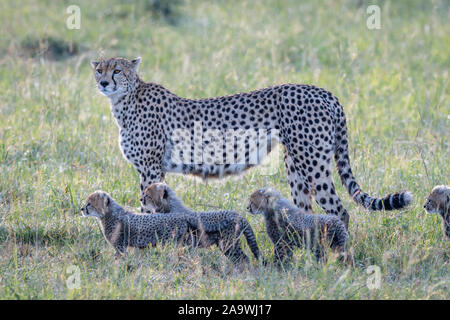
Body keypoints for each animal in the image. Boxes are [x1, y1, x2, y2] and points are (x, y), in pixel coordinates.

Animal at [93, 58, 414, 228]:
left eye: (117, 70)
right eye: (99, 68)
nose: (104, 82)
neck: (124, 101)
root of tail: (324, 91)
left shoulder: (150, 169)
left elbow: (148, 207)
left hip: (312, 163)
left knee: (339, 211)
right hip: (295, 164)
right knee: (308, 212)